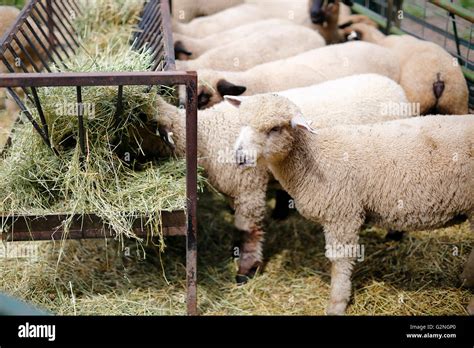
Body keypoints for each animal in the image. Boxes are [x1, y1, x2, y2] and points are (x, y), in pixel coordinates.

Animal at [151, 74, 412, 282]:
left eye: (203, 97)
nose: (241, 157)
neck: (209, 132)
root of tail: (394, 86)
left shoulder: (249, 186)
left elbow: (249, 230)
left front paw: (247, 269)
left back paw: (394, 235)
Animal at [233, 94, 474, 314]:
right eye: (241, 123)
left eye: (275, 128)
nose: (239, 157)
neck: (314, 157)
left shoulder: (342, 215)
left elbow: (340, 261)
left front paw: (336, 304)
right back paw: (465, 279)